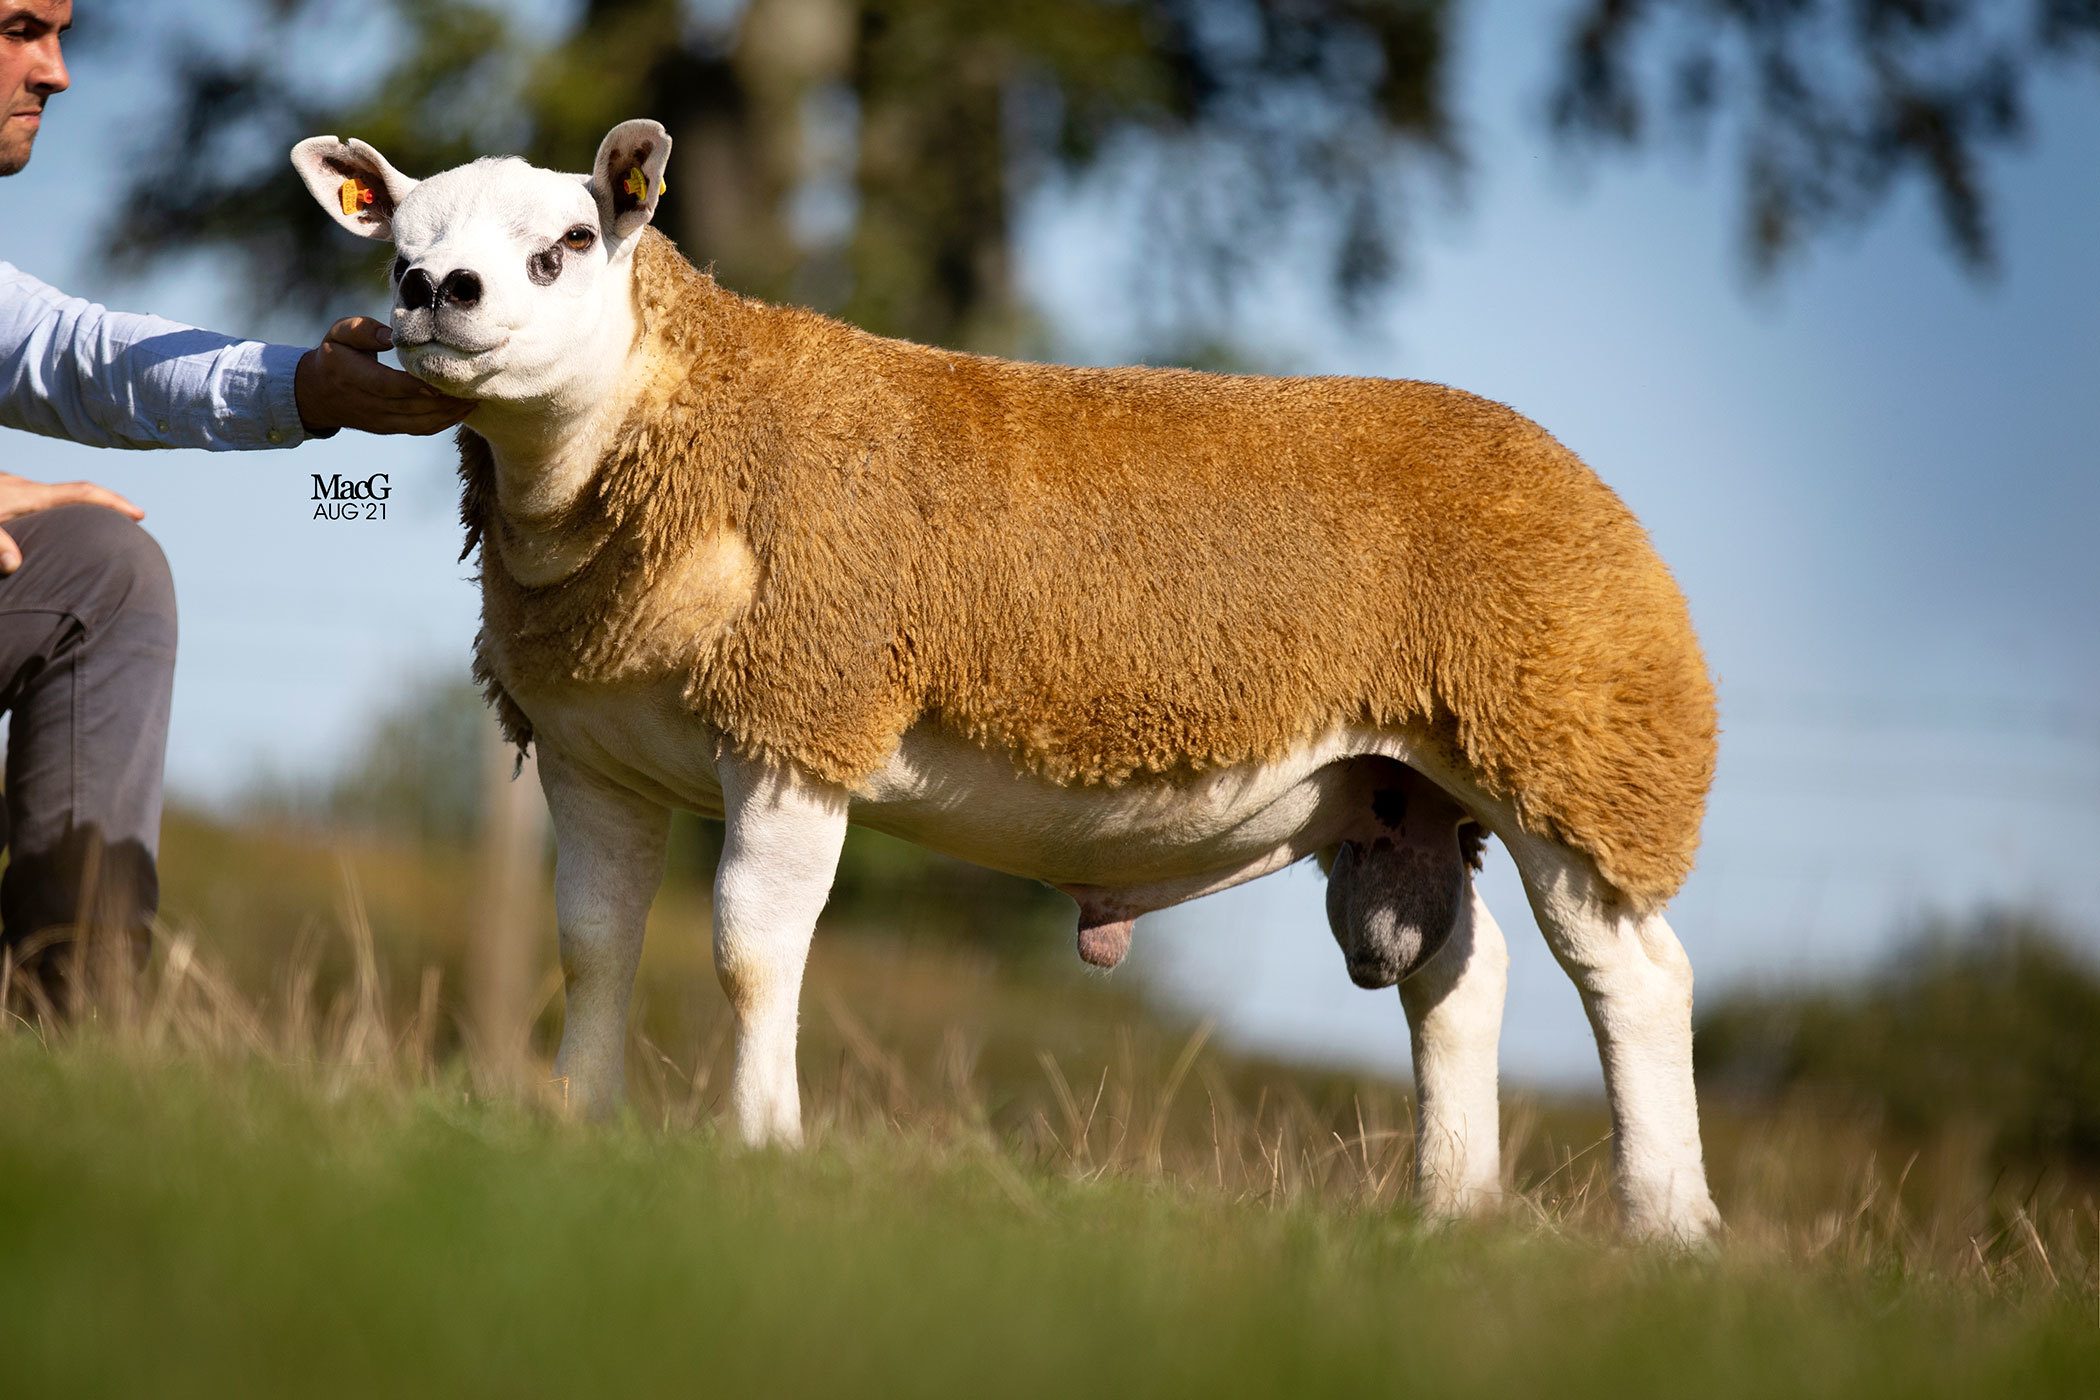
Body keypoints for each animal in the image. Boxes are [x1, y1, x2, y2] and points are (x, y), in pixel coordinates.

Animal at [291, 114, 1721, 1242]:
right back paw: (1451, 1215)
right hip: (1407, 787)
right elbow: (594, 946)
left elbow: (751, 949)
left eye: (568, 243)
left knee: (1635, 980)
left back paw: (1667, 1227)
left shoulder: (801, 715)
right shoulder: (595, 754)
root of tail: (1592, 490)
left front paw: (760, 1148)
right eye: (395, 241)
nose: (435, 289)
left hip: (1578, 751)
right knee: (1458, 982)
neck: (681, 428)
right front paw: (576, 1134)